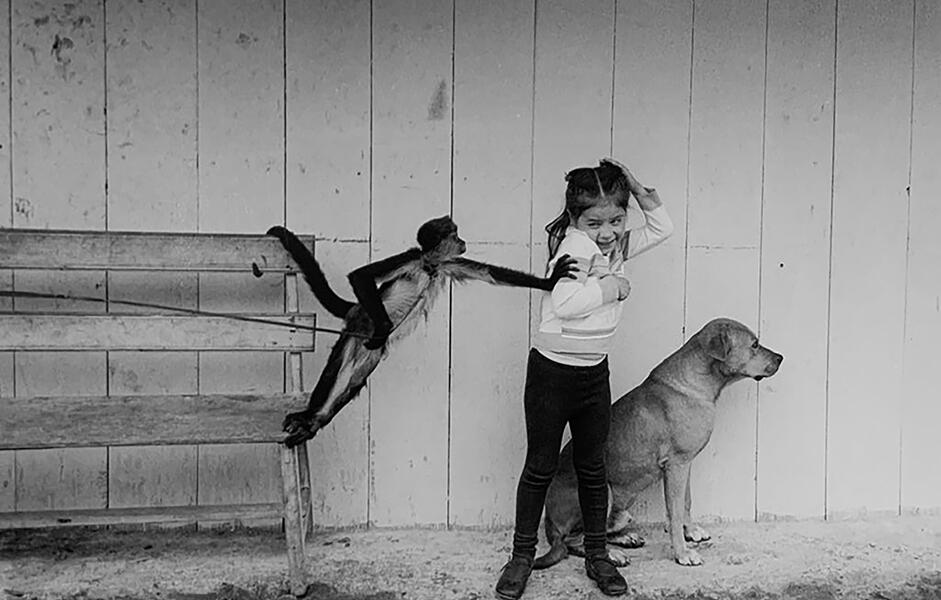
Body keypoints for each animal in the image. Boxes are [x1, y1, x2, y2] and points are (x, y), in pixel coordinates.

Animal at [266, 216, 580, 446]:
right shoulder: (411, 258)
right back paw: (307, 415)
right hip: (357, 331)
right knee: (336, 371)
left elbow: (491, 274)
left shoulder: (446, 264)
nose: (463, 241)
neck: (430, 266)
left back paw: (315, 423)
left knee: (353, 383)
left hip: (370, 357)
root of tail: (358, 309)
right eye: (455, 235)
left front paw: (549, 282)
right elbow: (360, 276)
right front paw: (384, 328)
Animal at [532, 316, 784, 568]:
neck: (700, 380)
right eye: (754, 345)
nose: (781, 358)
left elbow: (686, 502)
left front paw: (691, 531)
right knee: (575, 541)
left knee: (602, 531)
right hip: (605, 492)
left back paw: (625, 538)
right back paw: (612, 554)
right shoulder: (676, 465)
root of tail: (549, 523)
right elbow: (674, 513)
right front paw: (682, 553)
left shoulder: (685, 464)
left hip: (623, 508)